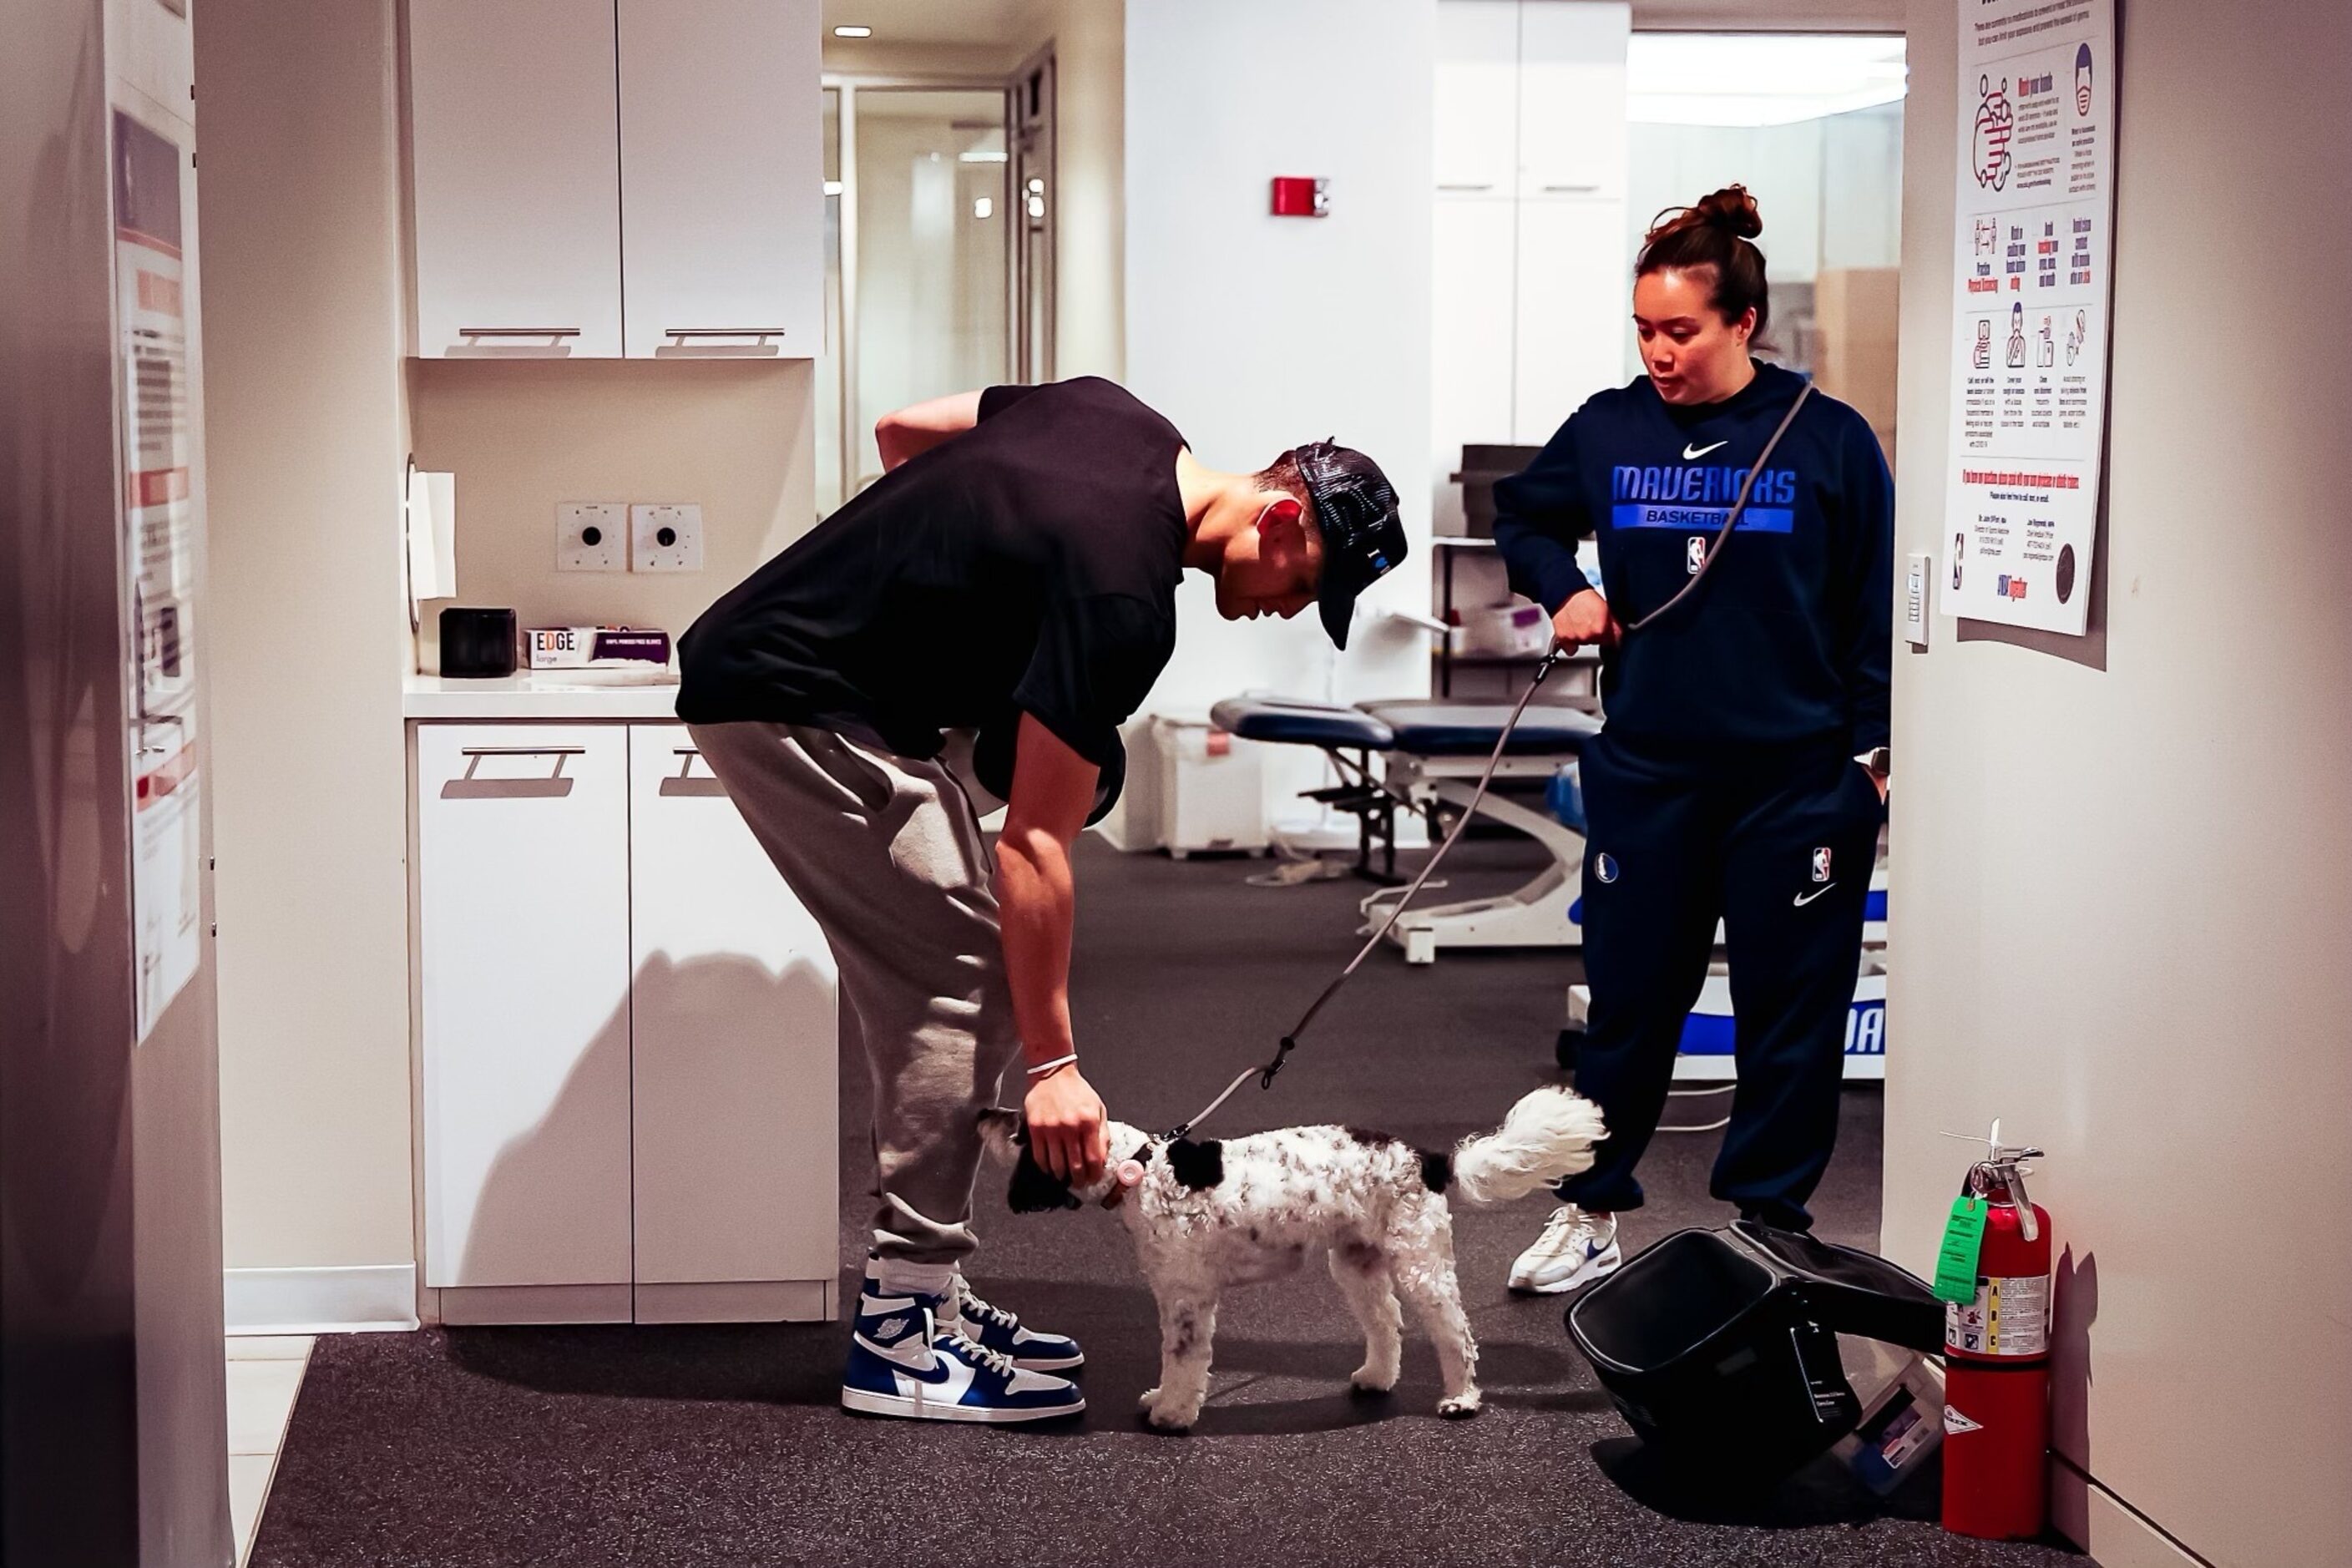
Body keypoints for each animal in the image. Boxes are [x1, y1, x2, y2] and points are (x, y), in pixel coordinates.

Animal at [983, 1085, 1608, 1429]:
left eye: (1018, 1130)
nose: (986, 1113)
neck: (1142, 1171)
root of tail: (1430, 1159)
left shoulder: (1188, 1302)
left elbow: (1184, 1362)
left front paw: (1172, 1413)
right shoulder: (1176, 1298)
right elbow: (1173, 1363)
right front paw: (1163, 1398)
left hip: (1419, 1264)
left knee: (1455, 1333)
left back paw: (1460, 1398)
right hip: (1357, 1262)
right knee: (1386, 1325)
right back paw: (1376, 1378)